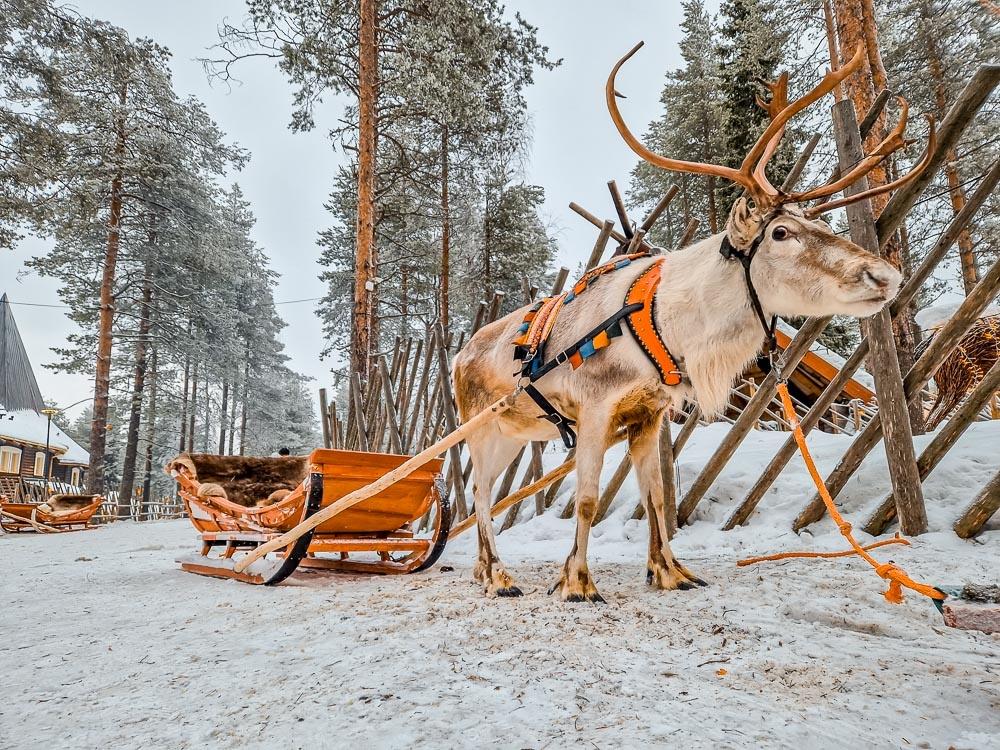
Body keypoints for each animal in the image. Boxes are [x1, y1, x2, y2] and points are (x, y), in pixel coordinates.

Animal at [453, 42, 935, 602]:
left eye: (817, 223)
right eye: (781, 232)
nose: (884, 275)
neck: (668, 323)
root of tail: (458, 356)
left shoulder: (647, 416)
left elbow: (658, 500)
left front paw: (669, 572)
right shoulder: (595, 410)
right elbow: (589, 499)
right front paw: (576, 582)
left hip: (513, 433)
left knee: (485, 496)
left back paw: (484, 570)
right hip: (478, 426)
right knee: (479, 495)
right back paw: (498, 574)